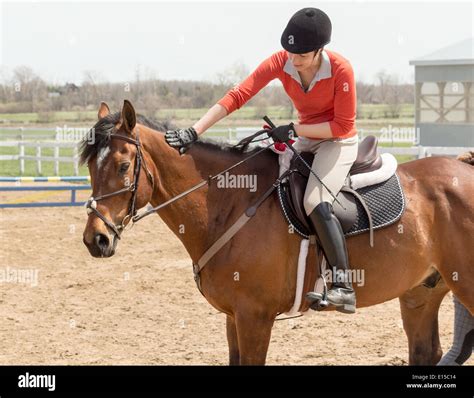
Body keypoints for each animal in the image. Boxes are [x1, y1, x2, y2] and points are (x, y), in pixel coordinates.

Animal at [82, 101, 474, 366]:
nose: (95, 239)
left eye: (122, 166)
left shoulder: (255, 317)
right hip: (420, 293)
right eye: (89, 168)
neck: (231, 201)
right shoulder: (233, 317)